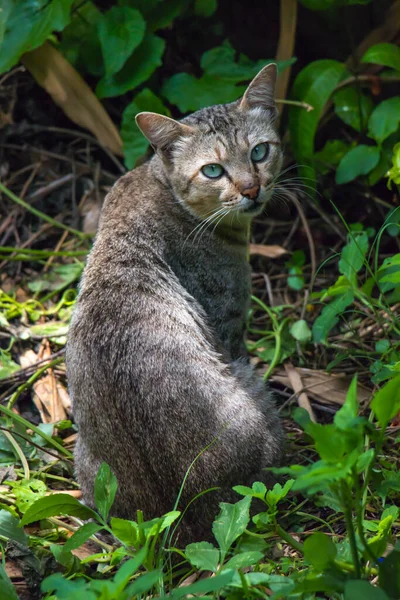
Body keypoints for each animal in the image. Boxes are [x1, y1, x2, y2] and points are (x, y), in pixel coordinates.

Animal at [65, 63, 284, 548]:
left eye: (260, 151)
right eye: (213, 170)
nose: (252, 188)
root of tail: (176, 523)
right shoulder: (230, 329)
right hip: (253, 391)